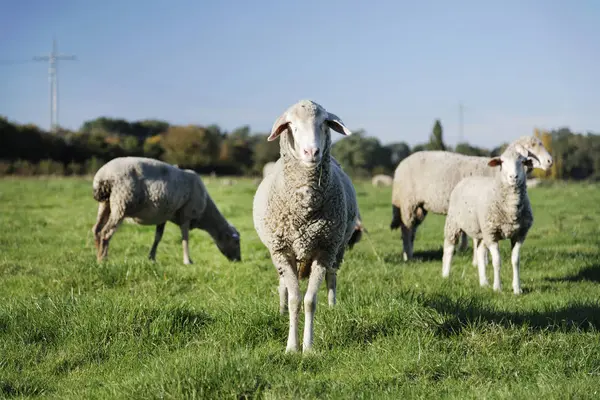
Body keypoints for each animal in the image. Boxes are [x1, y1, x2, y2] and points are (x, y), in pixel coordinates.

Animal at [90, 157, 240, 266]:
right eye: (236, 242)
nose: (239, 260)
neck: (205, 214)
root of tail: (103, 175)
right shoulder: (186, 215)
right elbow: (185, 238)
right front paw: (188, 261)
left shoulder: (163, 216)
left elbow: (158, 237)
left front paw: (152, 258)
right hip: (121, 202)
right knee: (105, 233)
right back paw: (103, 260)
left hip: (106, 204)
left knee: (97, 230)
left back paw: (97, 257)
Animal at [252, 100, 358, 354]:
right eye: (291, 125)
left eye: (324, 123)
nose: (312, 152)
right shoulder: (282, 250)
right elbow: (294, 300)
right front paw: (291, 347)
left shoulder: (324, 249)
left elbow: (309, 301)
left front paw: (308, 348)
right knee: (283, 285)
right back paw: (281, 310)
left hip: (338, 249)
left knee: (332, 276)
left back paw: (333, 306)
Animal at [390, 137, 552, 262]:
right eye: (532, 146)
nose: (550, 161)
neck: (496, 172)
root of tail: (399, 166)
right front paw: (479, 261)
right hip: (407, 203)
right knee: (406, 229)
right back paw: (408, 257)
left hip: (419, 207)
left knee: (412, 230)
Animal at [440, 145, 536, 296]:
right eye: (502, 162)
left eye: (522, 162)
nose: (513, 177)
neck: (510, 210)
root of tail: (466, 179)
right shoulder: (492, 234)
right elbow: (496, 261)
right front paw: (497, 288)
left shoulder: (519, 234)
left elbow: (515, 261)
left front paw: (517, 288)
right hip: (453, 223)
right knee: (449, 249)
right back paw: (445, 275)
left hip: (481, 231)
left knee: (480, 253)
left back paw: (483, 282)